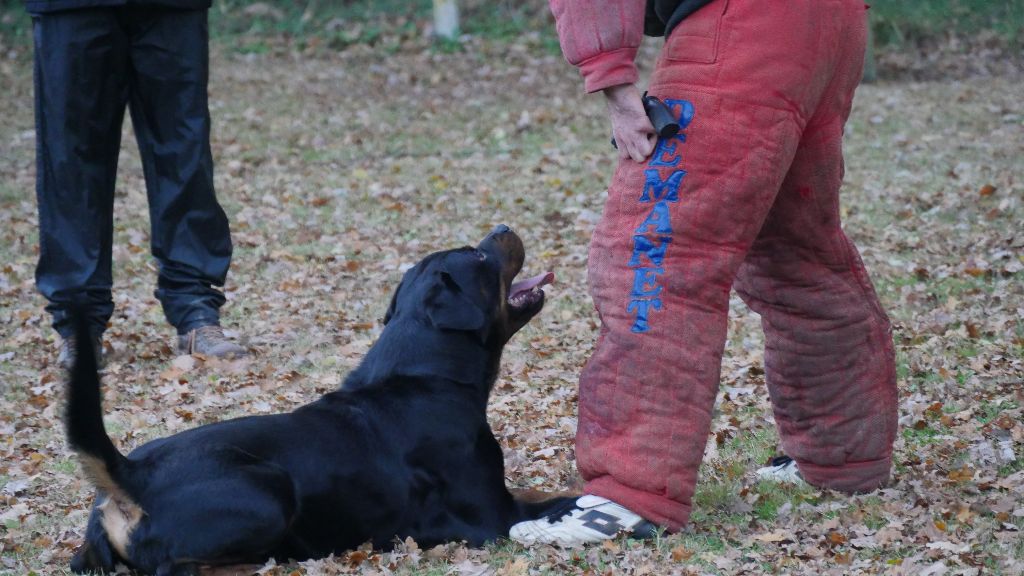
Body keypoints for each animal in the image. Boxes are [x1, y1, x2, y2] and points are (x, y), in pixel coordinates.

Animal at [64, 225, 569, 573]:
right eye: (478, 255)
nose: (502, 226)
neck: (431, 375)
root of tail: (130, 474)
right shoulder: (491, 517)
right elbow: (559, 499)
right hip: (267, 492)